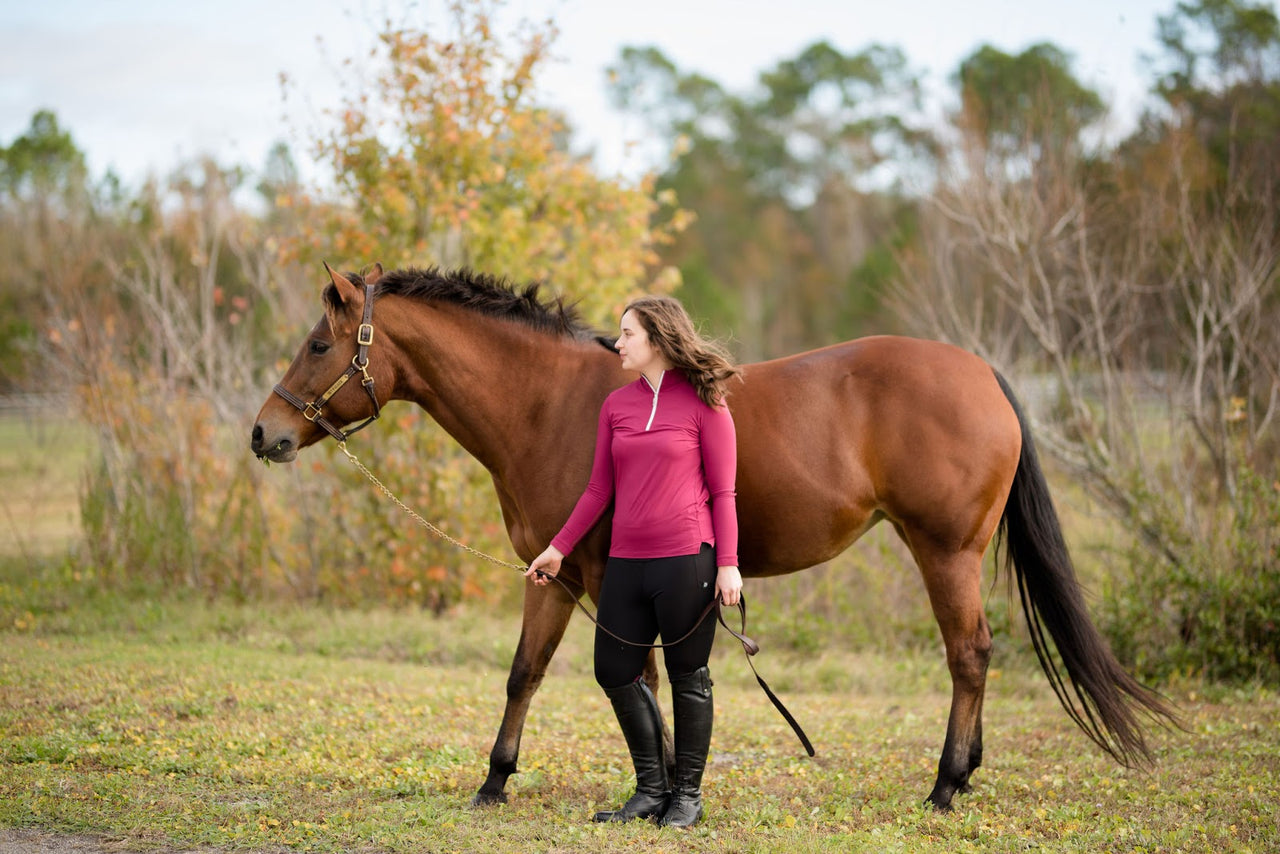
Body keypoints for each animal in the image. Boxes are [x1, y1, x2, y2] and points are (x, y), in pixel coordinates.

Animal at [244, 263, 1172, 814]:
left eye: (319, 344)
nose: (264, 435)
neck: (549, 403)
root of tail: (981, 373)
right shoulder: (558, 576)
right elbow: (528, 674)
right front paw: (496, 784)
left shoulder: (597, 576)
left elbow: (633, 680)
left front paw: (647, 794)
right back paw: (964, 774)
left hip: (945, 552)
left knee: (969, 654)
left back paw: (946, 785)